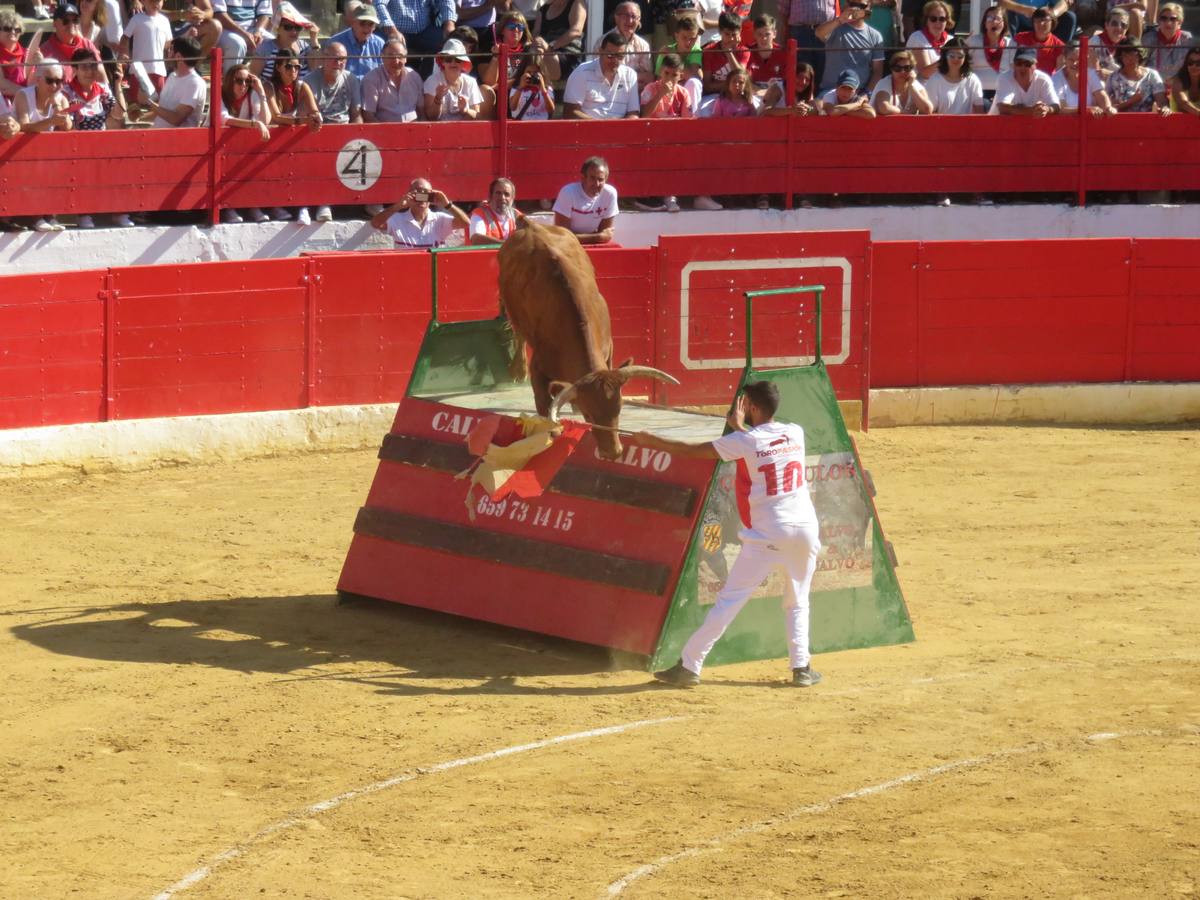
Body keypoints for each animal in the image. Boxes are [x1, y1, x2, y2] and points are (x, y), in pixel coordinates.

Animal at [494, 218, 676, 458]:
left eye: (619, 409)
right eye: (589, 416)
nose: (612, 452)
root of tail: (531, 224)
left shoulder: (609, 351)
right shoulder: (539, 369)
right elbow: (543, 403)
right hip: (511, 308)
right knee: (519, 334)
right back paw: (517, 370)